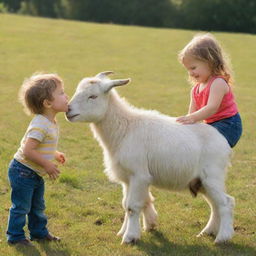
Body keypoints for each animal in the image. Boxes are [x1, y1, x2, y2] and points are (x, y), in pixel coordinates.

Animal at [65, 71, 235, 244]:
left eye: (93, 96)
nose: (68, 110)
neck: (125, 129)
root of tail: (223, 142)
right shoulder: (127, 178)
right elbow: (125, 204)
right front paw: (126, 231)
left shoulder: (139, 175)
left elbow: (132, 206)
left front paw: (130, 237)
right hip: (201, 181)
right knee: (215, 205)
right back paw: (207, 232)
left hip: (212, 176)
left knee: (226, 203)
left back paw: (222, 237)